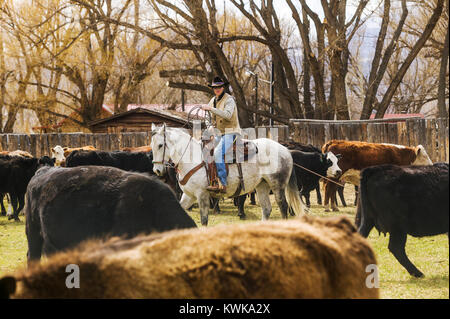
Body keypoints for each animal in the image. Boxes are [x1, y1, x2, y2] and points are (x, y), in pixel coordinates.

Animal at [151, 124, 306, 226]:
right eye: (151, 145)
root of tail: (285, 149)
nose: (157, 170)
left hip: (277, 185)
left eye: (160, 145)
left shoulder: (202, 195)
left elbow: (204, 220)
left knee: (283, 207)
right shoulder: (189, 196)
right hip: (262, 186)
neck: (192, 158)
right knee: (266, 209)